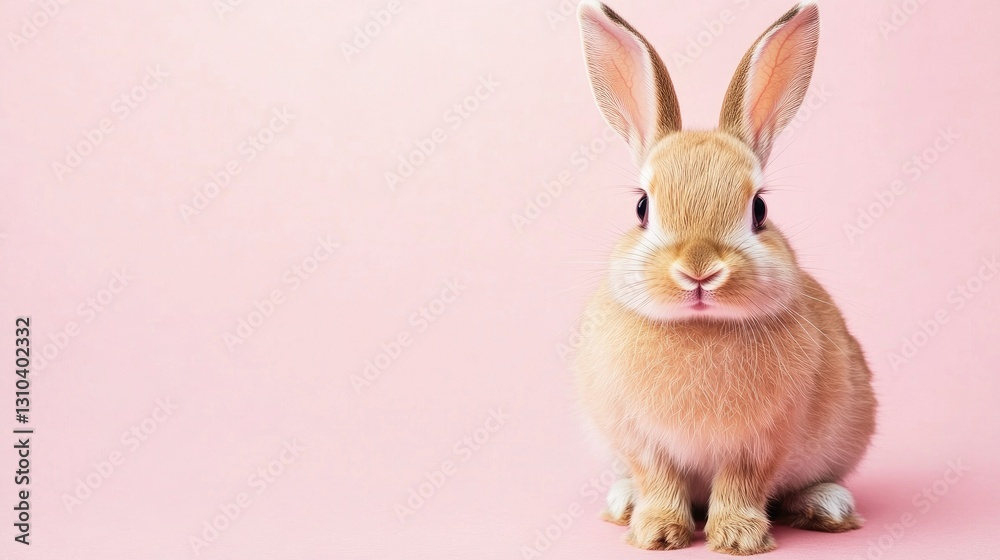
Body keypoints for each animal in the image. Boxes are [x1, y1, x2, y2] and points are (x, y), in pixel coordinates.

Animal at [573, 1, 877, 555]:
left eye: (759, 209)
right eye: (641, 207)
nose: (699, 270)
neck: (699, 328)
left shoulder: (760, 443)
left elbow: (742, 484)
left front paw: (738, 538)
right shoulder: (643, 442)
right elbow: (658, 479)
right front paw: (656, 533)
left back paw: (826, 507)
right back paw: (624, 504)